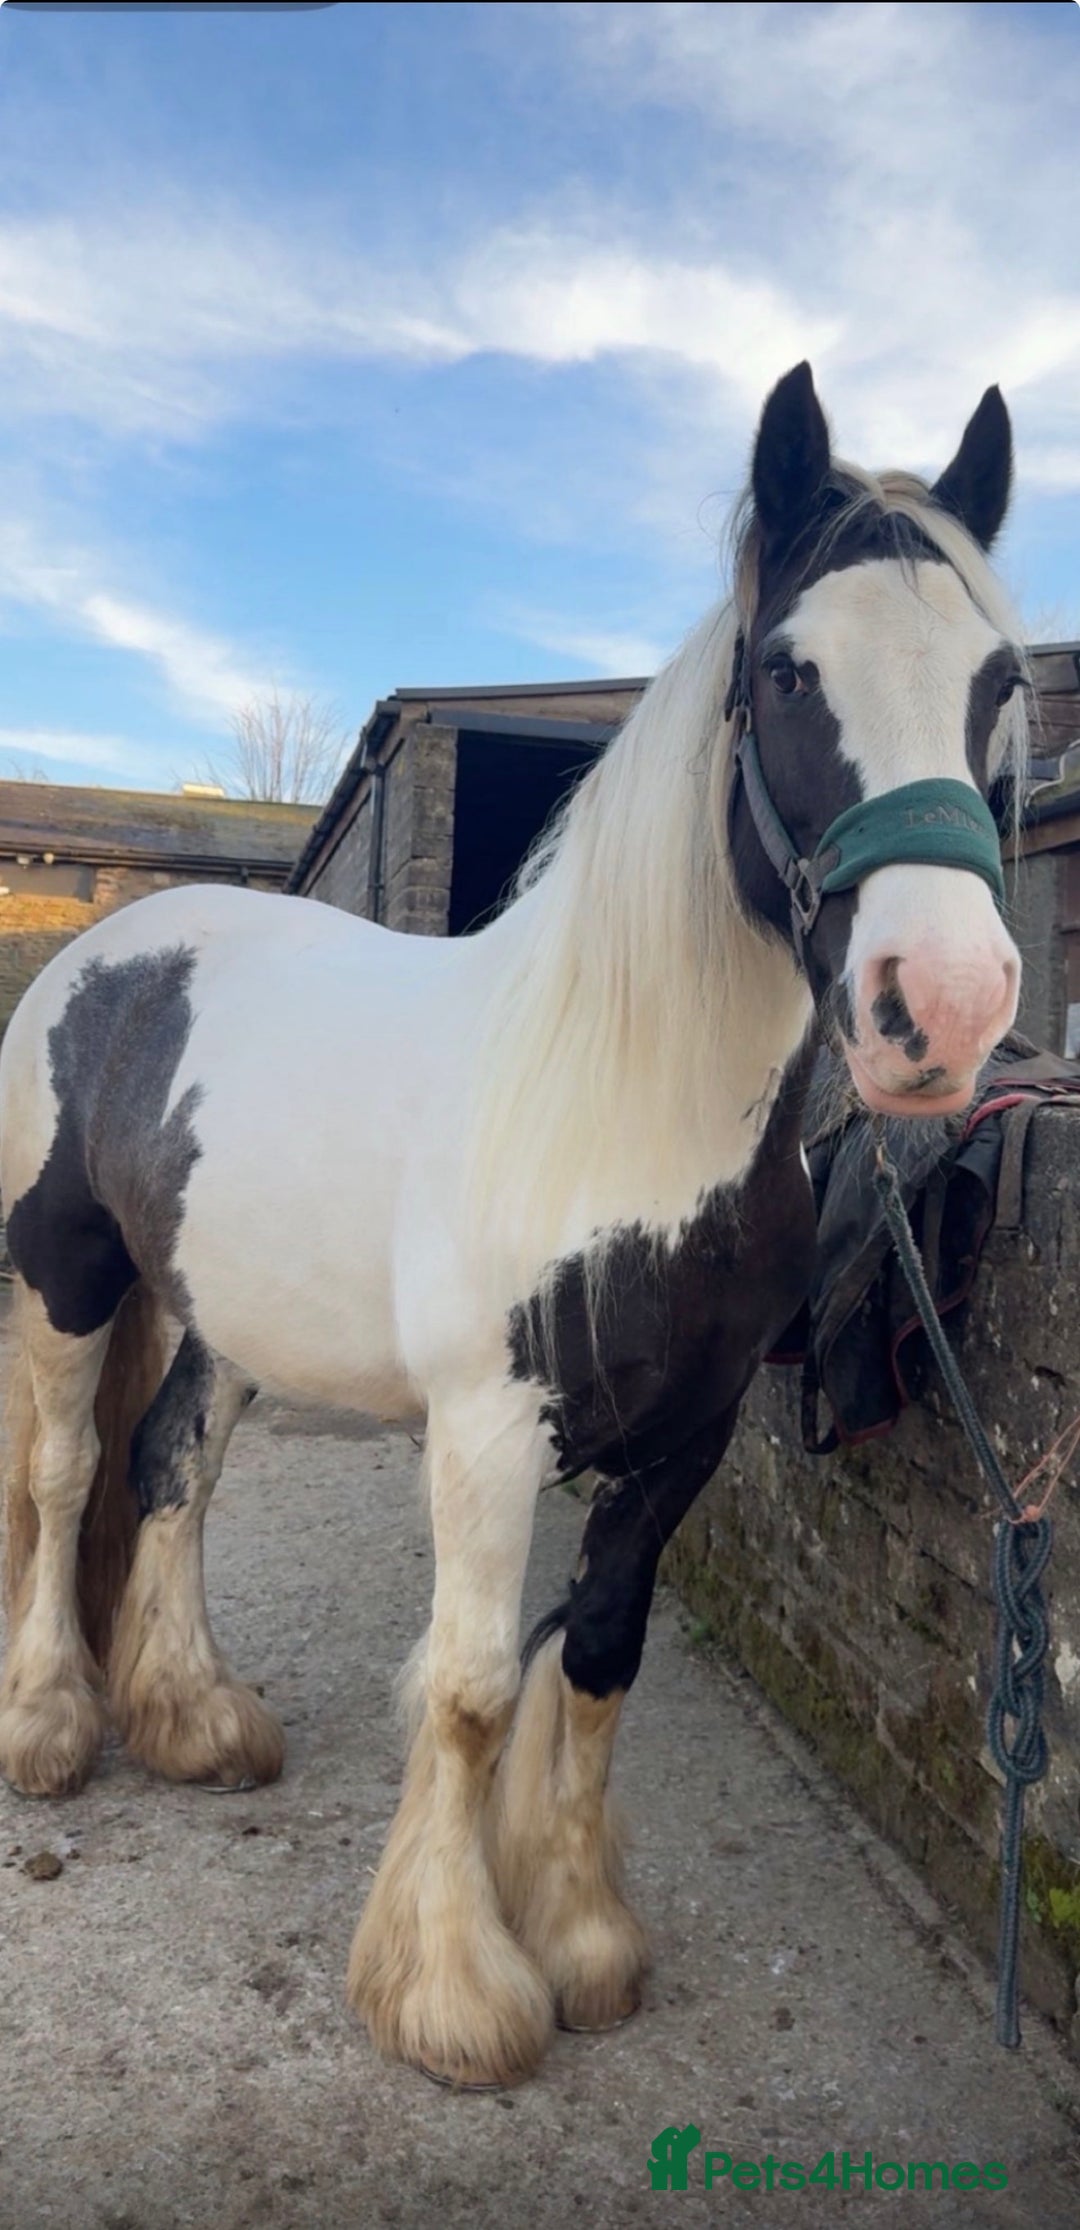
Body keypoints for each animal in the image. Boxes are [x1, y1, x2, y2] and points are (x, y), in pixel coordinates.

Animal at [0, 363, 1029, 2091]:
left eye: (1000, 681)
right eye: (788, 669)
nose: (938, 1010)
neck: (623, 1117)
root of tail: (121, 947)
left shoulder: (683, 1435)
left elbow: (597, 1653)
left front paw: (587, 1940)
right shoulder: (487, 1432)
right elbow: (478, 1687)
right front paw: (458, 1991)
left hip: (225, 1310)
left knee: (170, 1470)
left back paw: (198, 1721)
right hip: (67, 1278)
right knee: (71, 1467)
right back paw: (53, 1729)